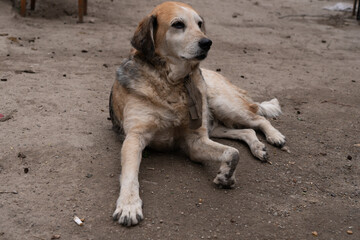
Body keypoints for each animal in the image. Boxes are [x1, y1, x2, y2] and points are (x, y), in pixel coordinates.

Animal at [108, 1, 286, 227]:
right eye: (178, 24)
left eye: (200, 23)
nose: (207, 42)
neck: (173, 82)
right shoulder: (135, 137)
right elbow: (130, 174)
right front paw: (129, 206)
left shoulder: (194, 140)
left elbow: (233, 153)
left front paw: (226, 176)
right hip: (215, 125)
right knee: (247, 131)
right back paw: (258, 147)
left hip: (225, 106)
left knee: (259, 119)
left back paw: (274, 137)